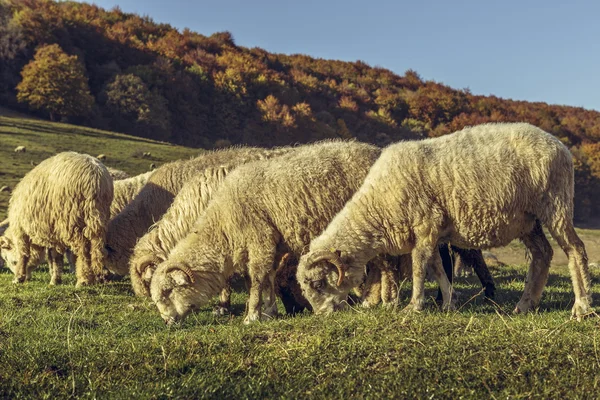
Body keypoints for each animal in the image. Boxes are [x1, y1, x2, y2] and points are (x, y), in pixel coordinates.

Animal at [0, 152, 113, 286]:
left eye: (11, 261)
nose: (27, 277)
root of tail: (94, 179)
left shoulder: (22, 230)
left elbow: (24, 254)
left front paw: (18, 278)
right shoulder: (52, 232)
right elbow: (55, 257)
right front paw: (55, 279)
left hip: (72, 220)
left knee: (83, 250)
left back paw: (83, 280)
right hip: (98, 217)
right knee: (99, 249)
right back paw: (99, 276)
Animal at [296, 122, 592, 318]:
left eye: (319, 284)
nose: (321, 315)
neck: (378, 207)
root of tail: (559, 145)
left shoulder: (425, 225)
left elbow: (419, 267)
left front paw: (414, 306)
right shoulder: (432, 233)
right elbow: (437, 267)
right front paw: (449, 302)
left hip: (555, 203)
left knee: (575, 250)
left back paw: (582, 306)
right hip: (528, 220)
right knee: (542, 254)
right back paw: (525, 304)